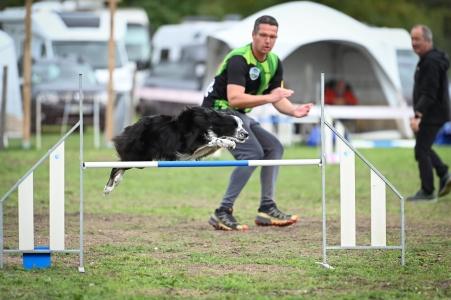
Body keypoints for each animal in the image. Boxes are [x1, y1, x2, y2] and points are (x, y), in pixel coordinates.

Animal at [103, 106, 247, 195]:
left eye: (242, 125)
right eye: (234, 125)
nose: (246, 134)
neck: (210, 122)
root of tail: (130, 128)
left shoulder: (199, 151)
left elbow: (215, 142)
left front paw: (229, 142)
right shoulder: (190, 145)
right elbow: (213, 139)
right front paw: (228, 142)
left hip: (142, 160)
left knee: (121, 165)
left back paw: (116, 181)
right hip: (137, 156)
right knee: (116, 166)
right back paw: (108, 188)